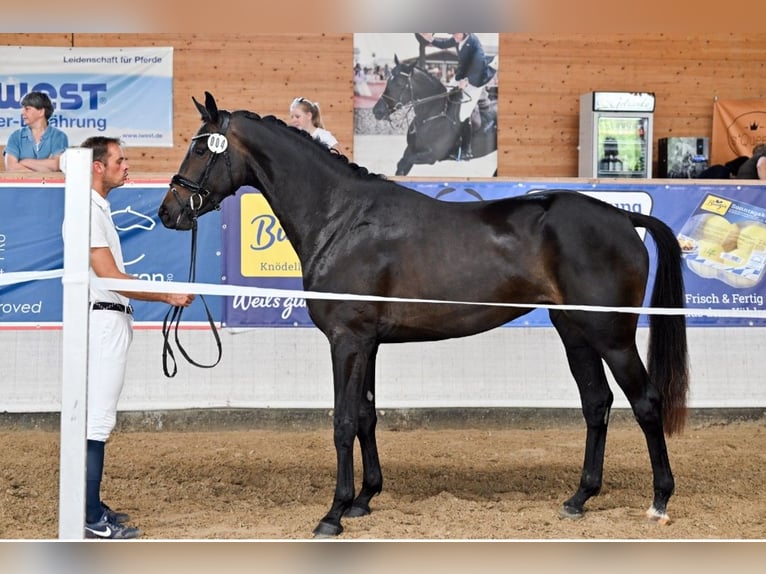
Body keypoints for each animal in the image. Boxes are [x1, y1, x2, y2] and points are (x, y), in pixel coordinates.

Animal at [160, 92, 688, 536]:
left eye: (202, 151)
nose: (169, 212)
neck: (343, 219)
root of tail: (622, 216)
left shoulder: (347, 340)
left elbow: (343, 421)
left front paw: (334, 512)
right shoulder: (368, 343)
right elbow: (367, 415)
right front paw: (365, 499)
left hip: (611, 335)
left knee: (645, 402)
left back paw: (660, 501)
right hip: (574, 330)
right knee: (596, 403)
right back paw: (579, 498)